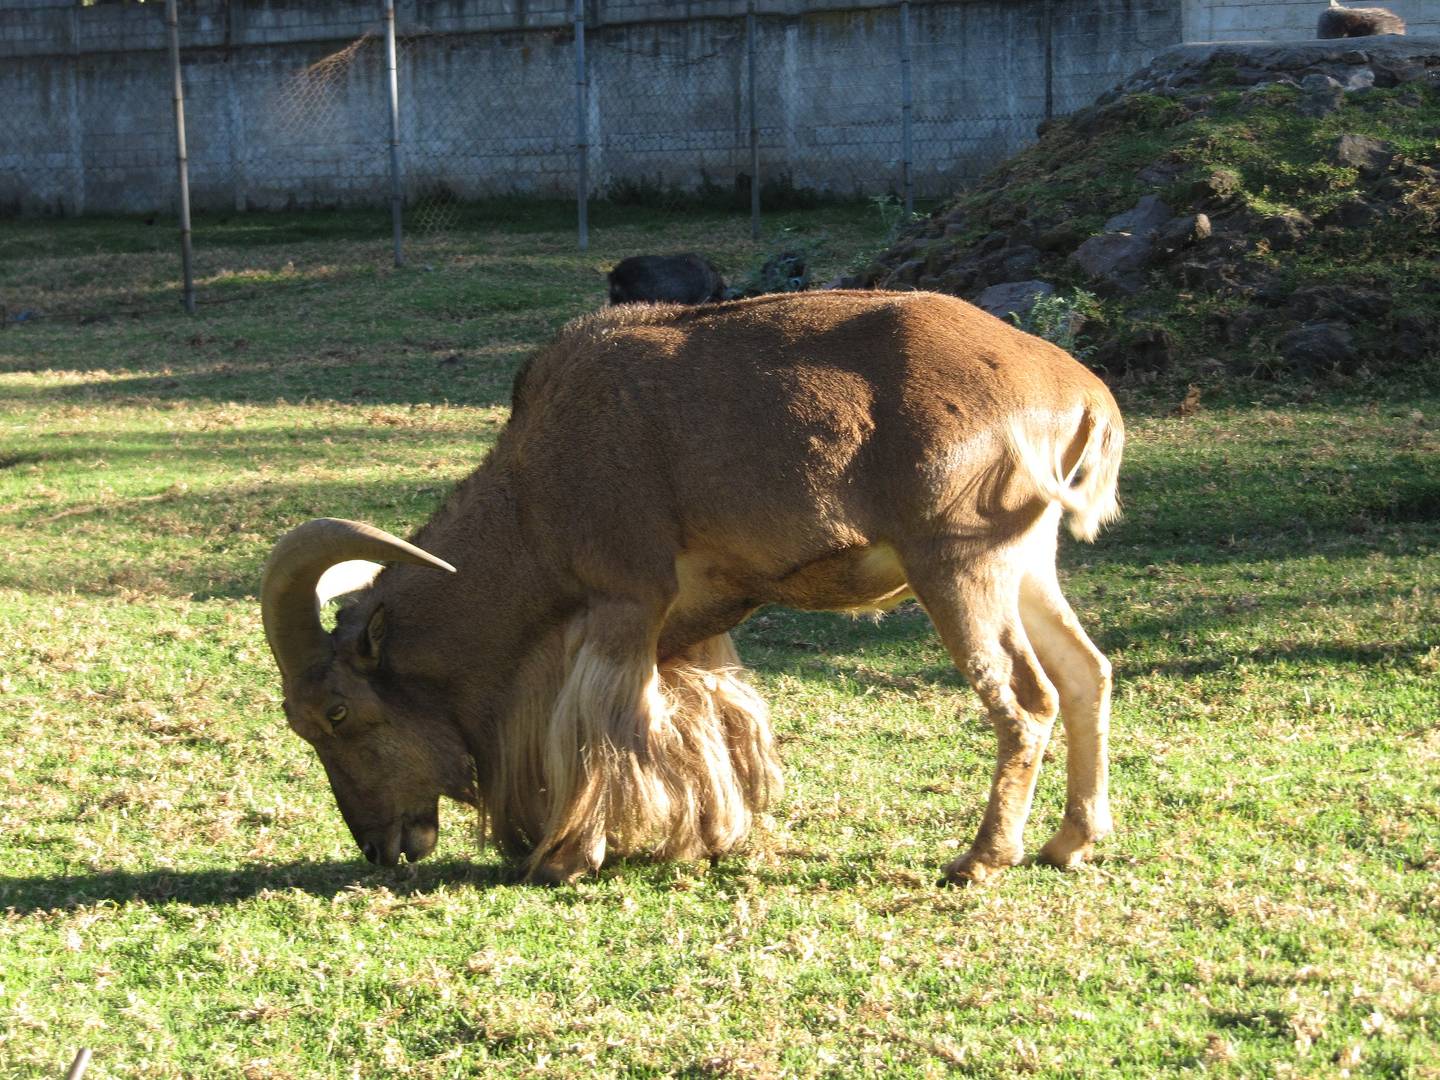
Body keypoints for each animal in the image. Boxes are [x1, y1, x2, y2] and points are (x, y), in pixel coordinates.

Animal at [264, 289, 1128, 887]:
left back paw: (981, 859)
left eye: (335, 711)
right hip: (1027, 564)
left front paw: (570, 857)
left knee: (1026, 700)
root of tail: (1084, 394)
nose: (383, 848)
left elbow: (612, 730)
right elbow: (707, 724)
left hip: (958, 565)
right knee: (1087, 673)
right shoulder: (694, 621)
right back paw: (1069, 843)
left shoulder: (623, 602)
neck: (531, 497)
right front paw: (710, 837)